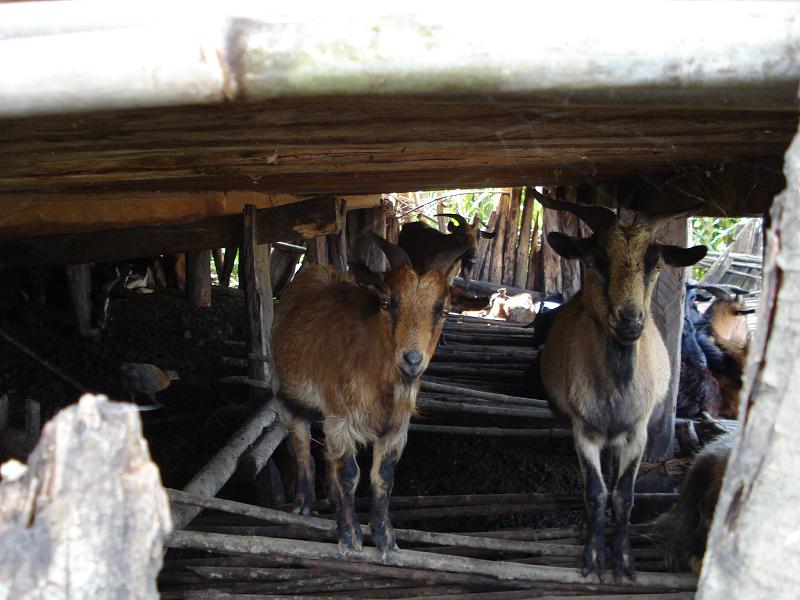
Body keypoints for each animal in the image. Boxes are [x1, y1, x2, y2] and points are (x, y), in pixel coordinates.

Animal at [272, 232, 466, 556]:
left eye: (444, 309)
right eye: (387, 302)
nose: (412, 360)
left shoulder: (396, 427)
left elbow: (383, 477)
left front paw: (385, 537)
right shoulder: (340, 417)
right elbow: (349, 473)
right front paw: (351, 536)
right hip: (291, 395)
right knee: (301, 445)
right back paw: (303, 502)